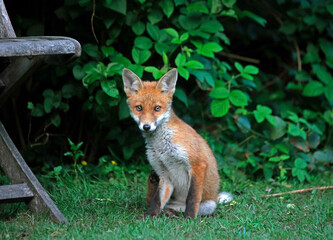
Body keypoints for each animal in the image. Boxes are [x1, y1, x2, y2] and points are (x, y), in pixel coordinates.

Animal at [120, 68, 232, 219]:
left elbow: (192, 198)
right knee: (154, 201)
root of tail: (215, 197)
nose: (146, 127)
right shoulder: (164, 174)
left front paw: (189, 219)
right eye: (139, 108)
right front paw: (148, 216)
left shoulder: (198, 164)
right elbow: (156, 201)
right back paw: (168, 212)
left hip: (209, 205)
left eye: (157, 108)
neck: (162, 147)